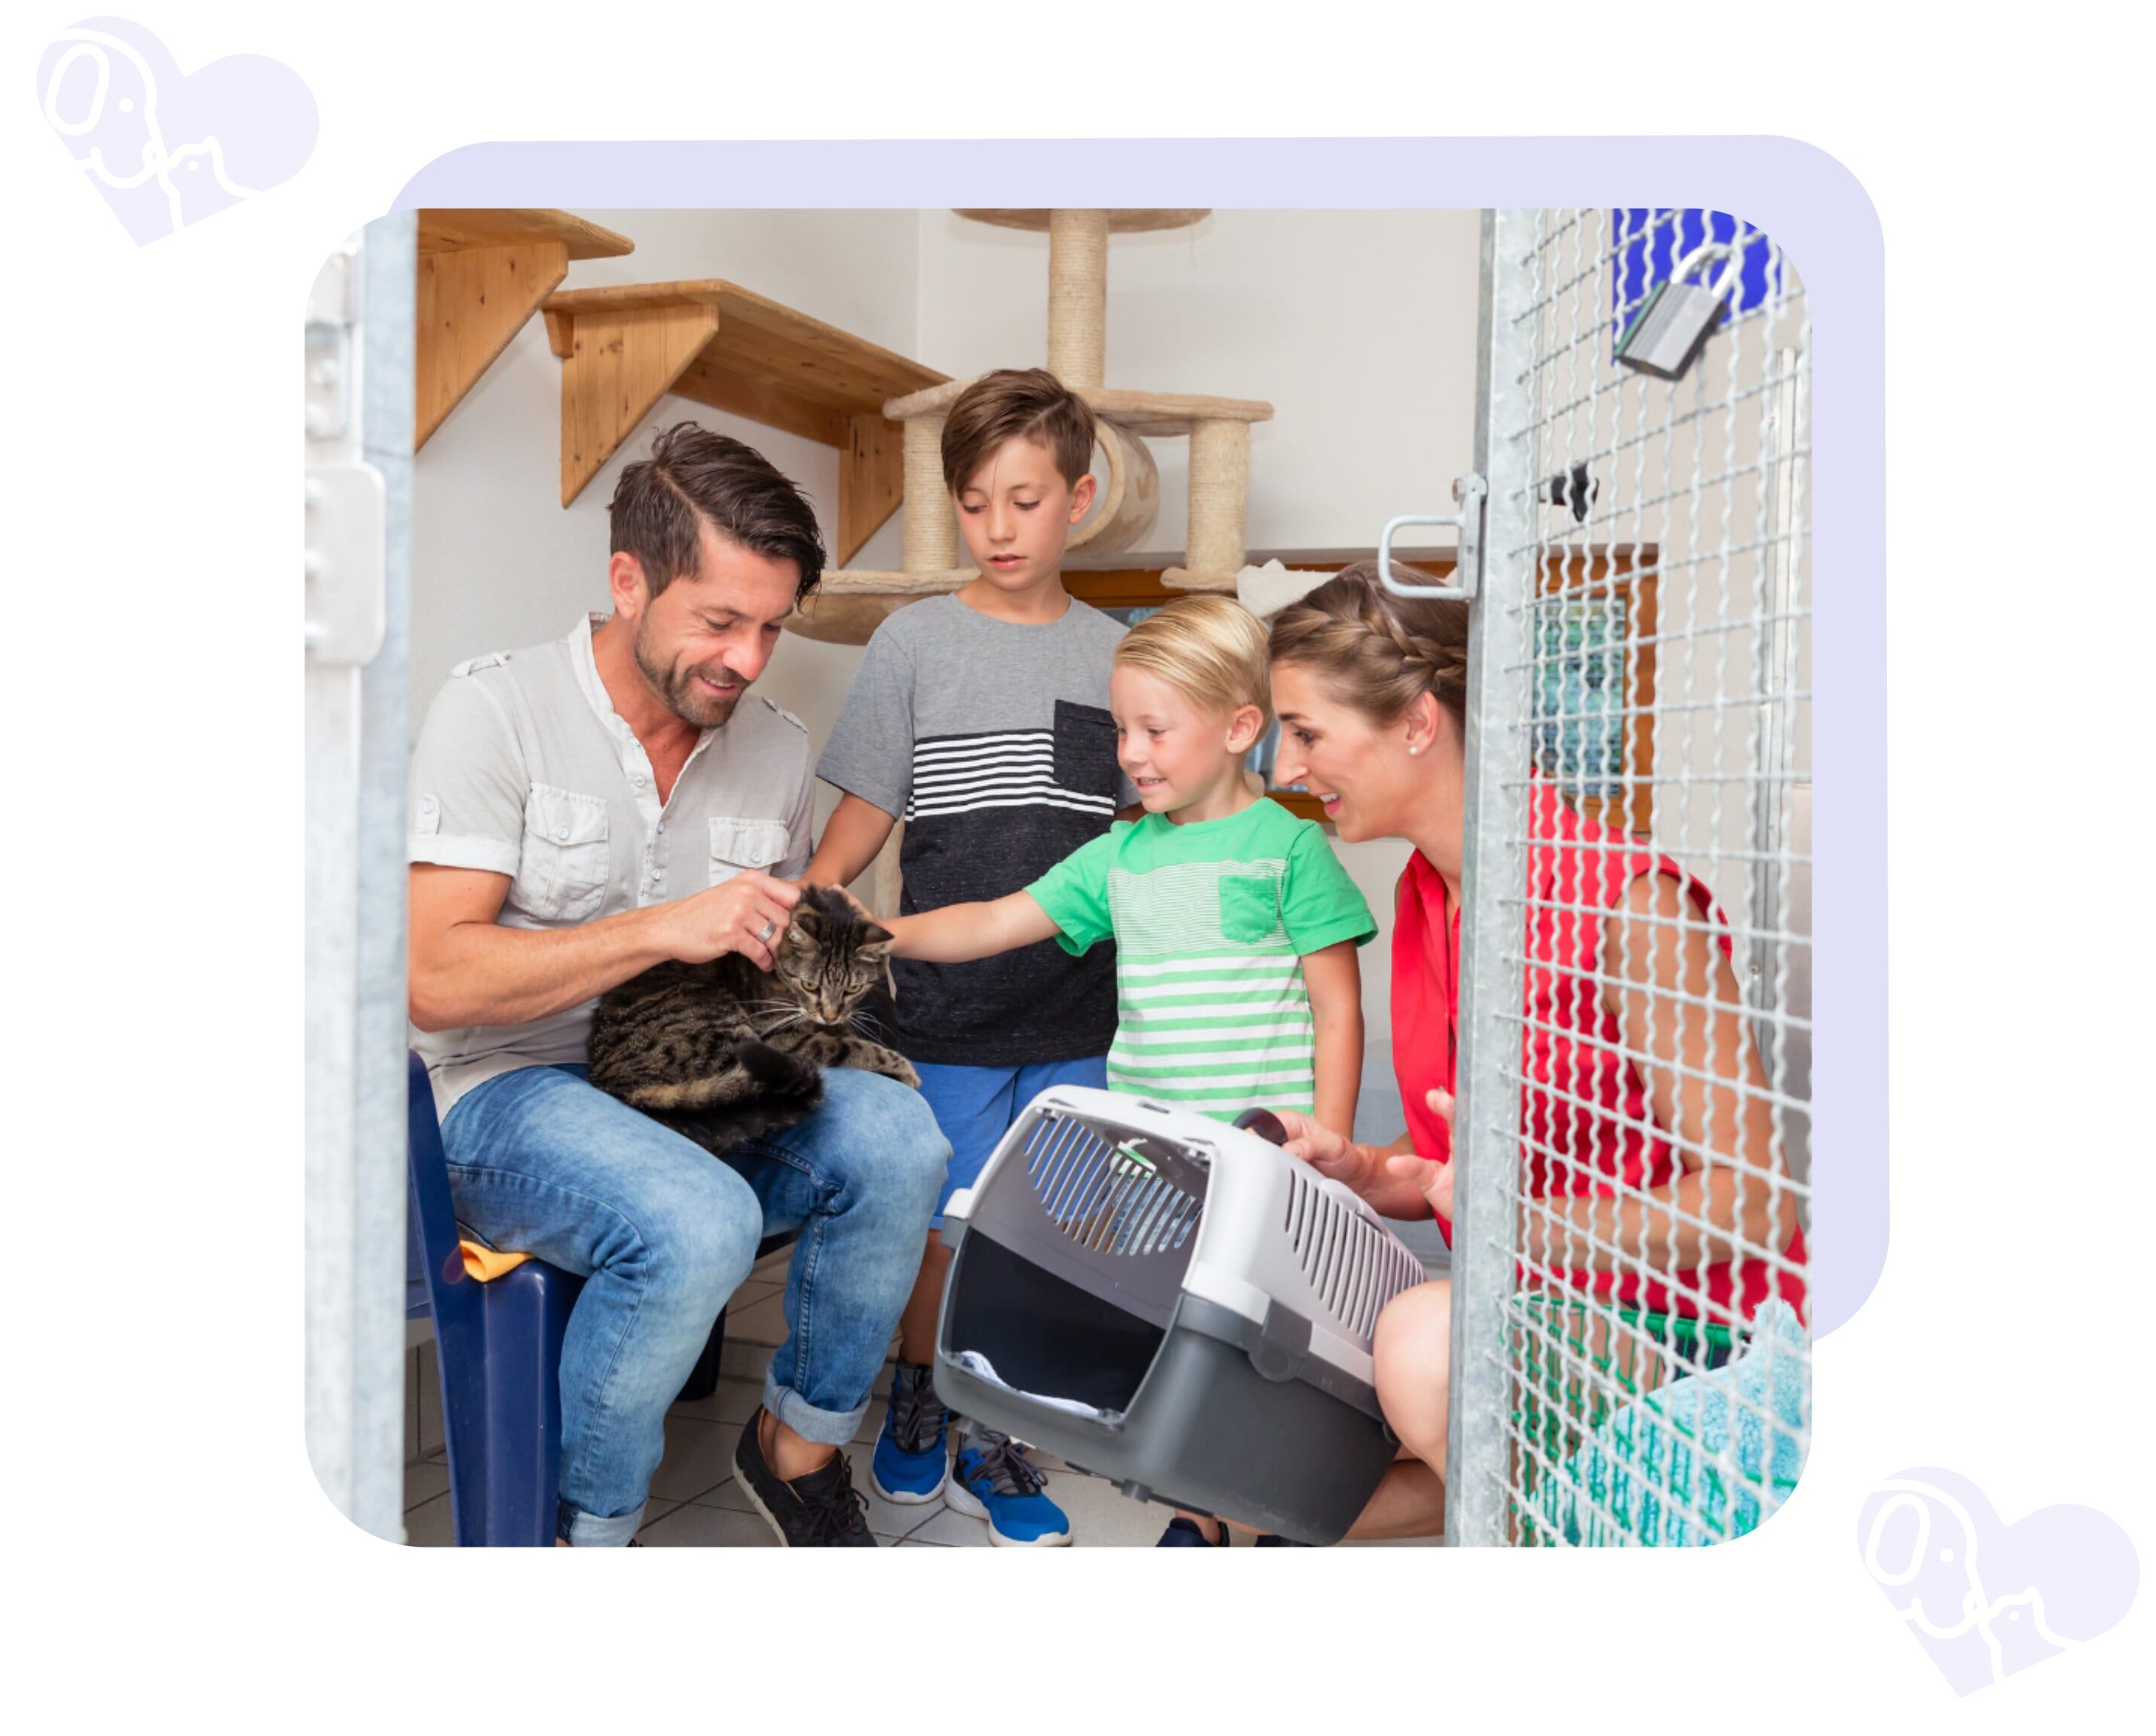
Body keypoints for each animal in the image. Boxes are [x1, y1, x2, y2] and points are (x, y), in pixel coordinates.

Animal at [590, 880, 918, 1147]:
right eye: (810, 985)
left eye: (853, 989)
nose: (830, 1015)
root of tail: (611, 1080)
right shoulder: (780, 1036)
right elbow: (850, 1047)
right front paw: (903, 1068)